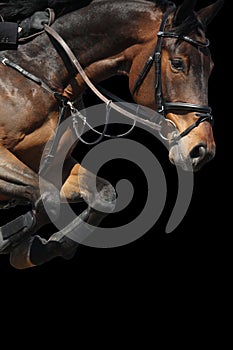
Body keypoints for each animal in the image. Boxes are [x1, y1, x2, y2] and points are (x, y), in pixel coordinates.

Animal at [0, 0, 224, 270]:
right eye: (178, 63)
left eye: (210, 68)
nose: (202, 150)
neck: (47, 74)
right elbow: (46, 197)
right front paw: (12, 241)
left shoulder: (54, 165)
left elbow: (103, 196)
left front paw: (34, 249)